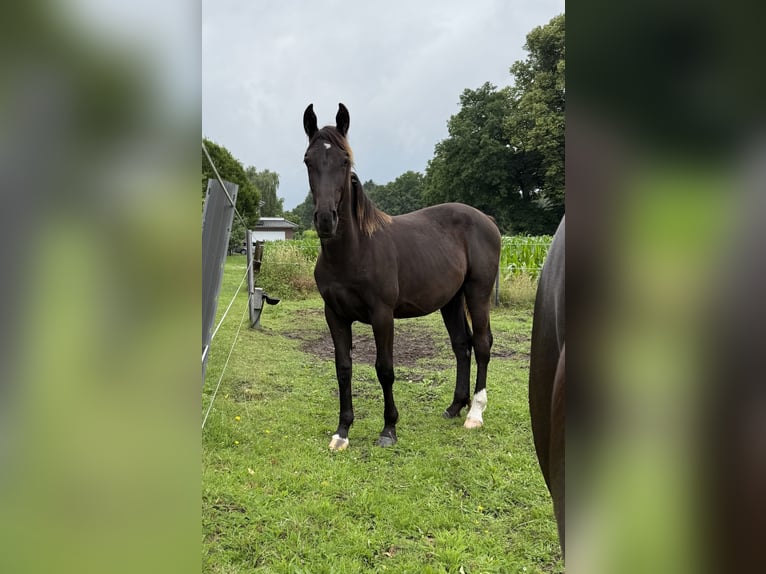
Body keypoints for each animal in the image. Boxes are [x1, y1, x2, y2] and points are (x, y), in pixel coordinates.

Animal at [302, 103, 501, 451]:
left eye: (345, 161)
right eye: (308, 160)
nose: (326, 219)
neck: (354, 252)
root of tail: (486, 219)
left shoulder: (382, 315)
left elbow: (385, 369)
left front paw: (388, 429)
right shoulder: (335, 315)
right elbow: (343, 368)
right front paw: (342, 431)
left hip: (478, 292)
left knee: (481, 343)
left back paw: (474, 414)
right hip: (451, 300)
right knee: (461, 345)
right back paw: (455, 406)